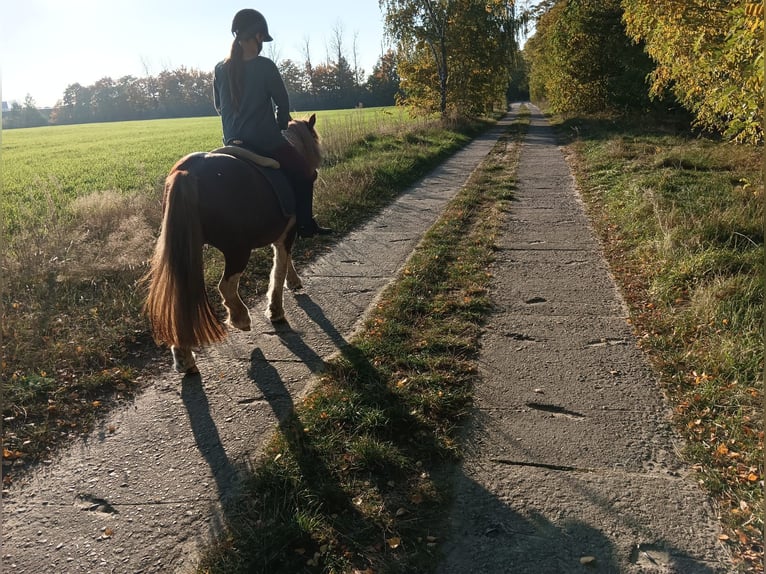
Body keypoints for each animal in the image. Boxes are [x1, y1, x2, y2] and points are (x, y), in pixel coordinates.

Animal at [145, 115, 320, 376]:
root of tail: (188, 171)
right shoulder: (286, 234)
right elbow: (278, 269)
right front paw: (276, 310)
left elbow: (283, 262)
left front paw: (293, 282)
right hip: (237, 250)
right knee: (226, 286)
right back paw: (240, 318)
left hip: (186, 252)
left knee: (182, 302)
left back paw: (184, 358)